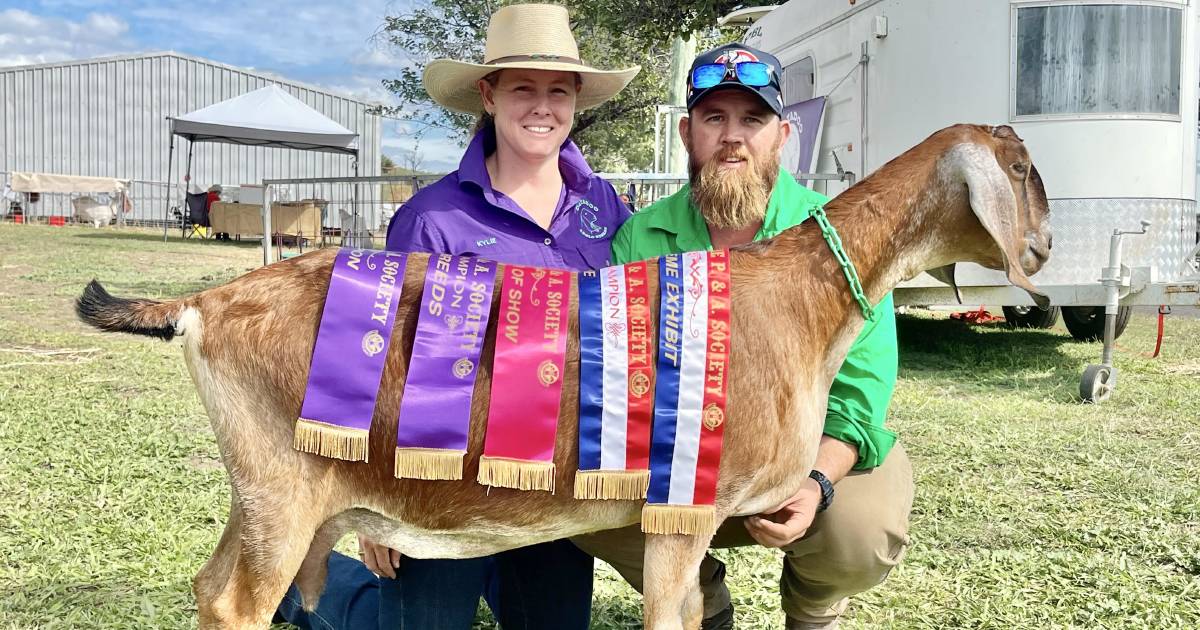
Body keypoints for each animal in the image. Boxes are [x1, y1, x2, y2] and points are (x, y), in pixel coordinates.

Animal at [77, 124, 1051, 628]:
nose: (1042, 247)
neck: (795, 297)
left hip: (267, 495)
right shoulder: (684, 513)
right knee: (237, 603)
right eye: (1022, 167)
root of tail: (204, 301)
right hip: (281, 491)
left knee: (212, 589)